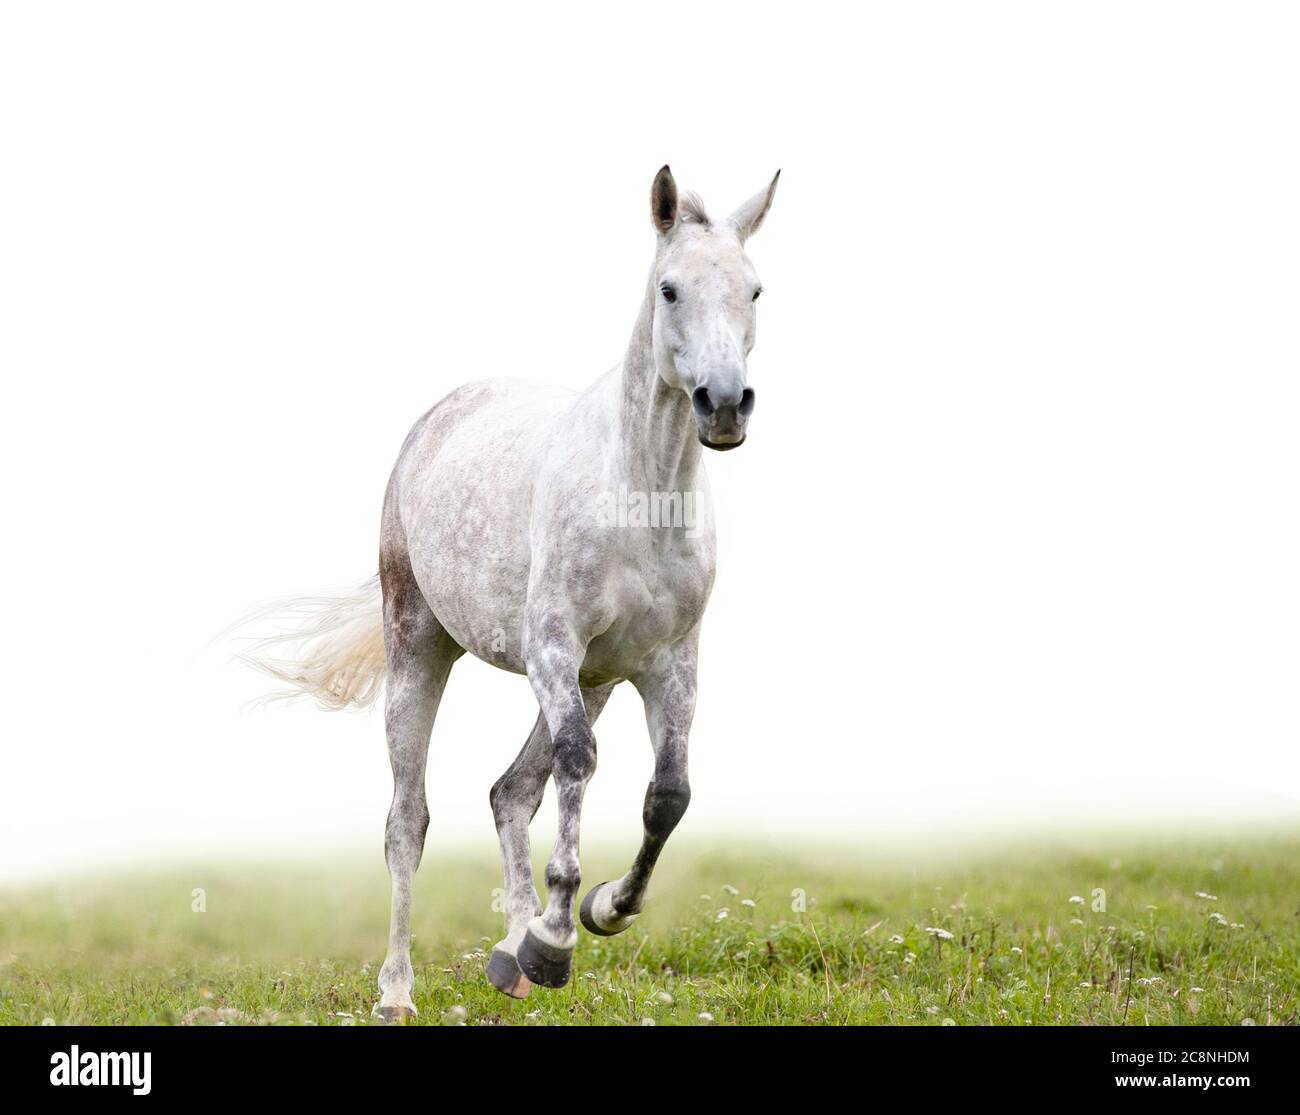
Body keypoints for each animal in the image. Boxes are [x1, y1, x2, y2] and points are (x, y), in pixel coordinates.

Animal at [247, 166, 779, 1018]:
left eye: (754, 289)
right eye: (669, 288)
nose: (724, 404)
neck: (639, 498)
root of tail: (437, 417)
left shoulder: (668, 664)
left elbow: (667, 794)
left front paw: (596, 912)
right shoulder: (553, 645)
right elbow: (577, 762)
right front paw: (558, 937)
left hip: (594, 680)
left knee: (511, 791)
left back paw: (512, 953)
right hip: (421, 646)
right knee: (408, 820)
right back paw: (399, 988)